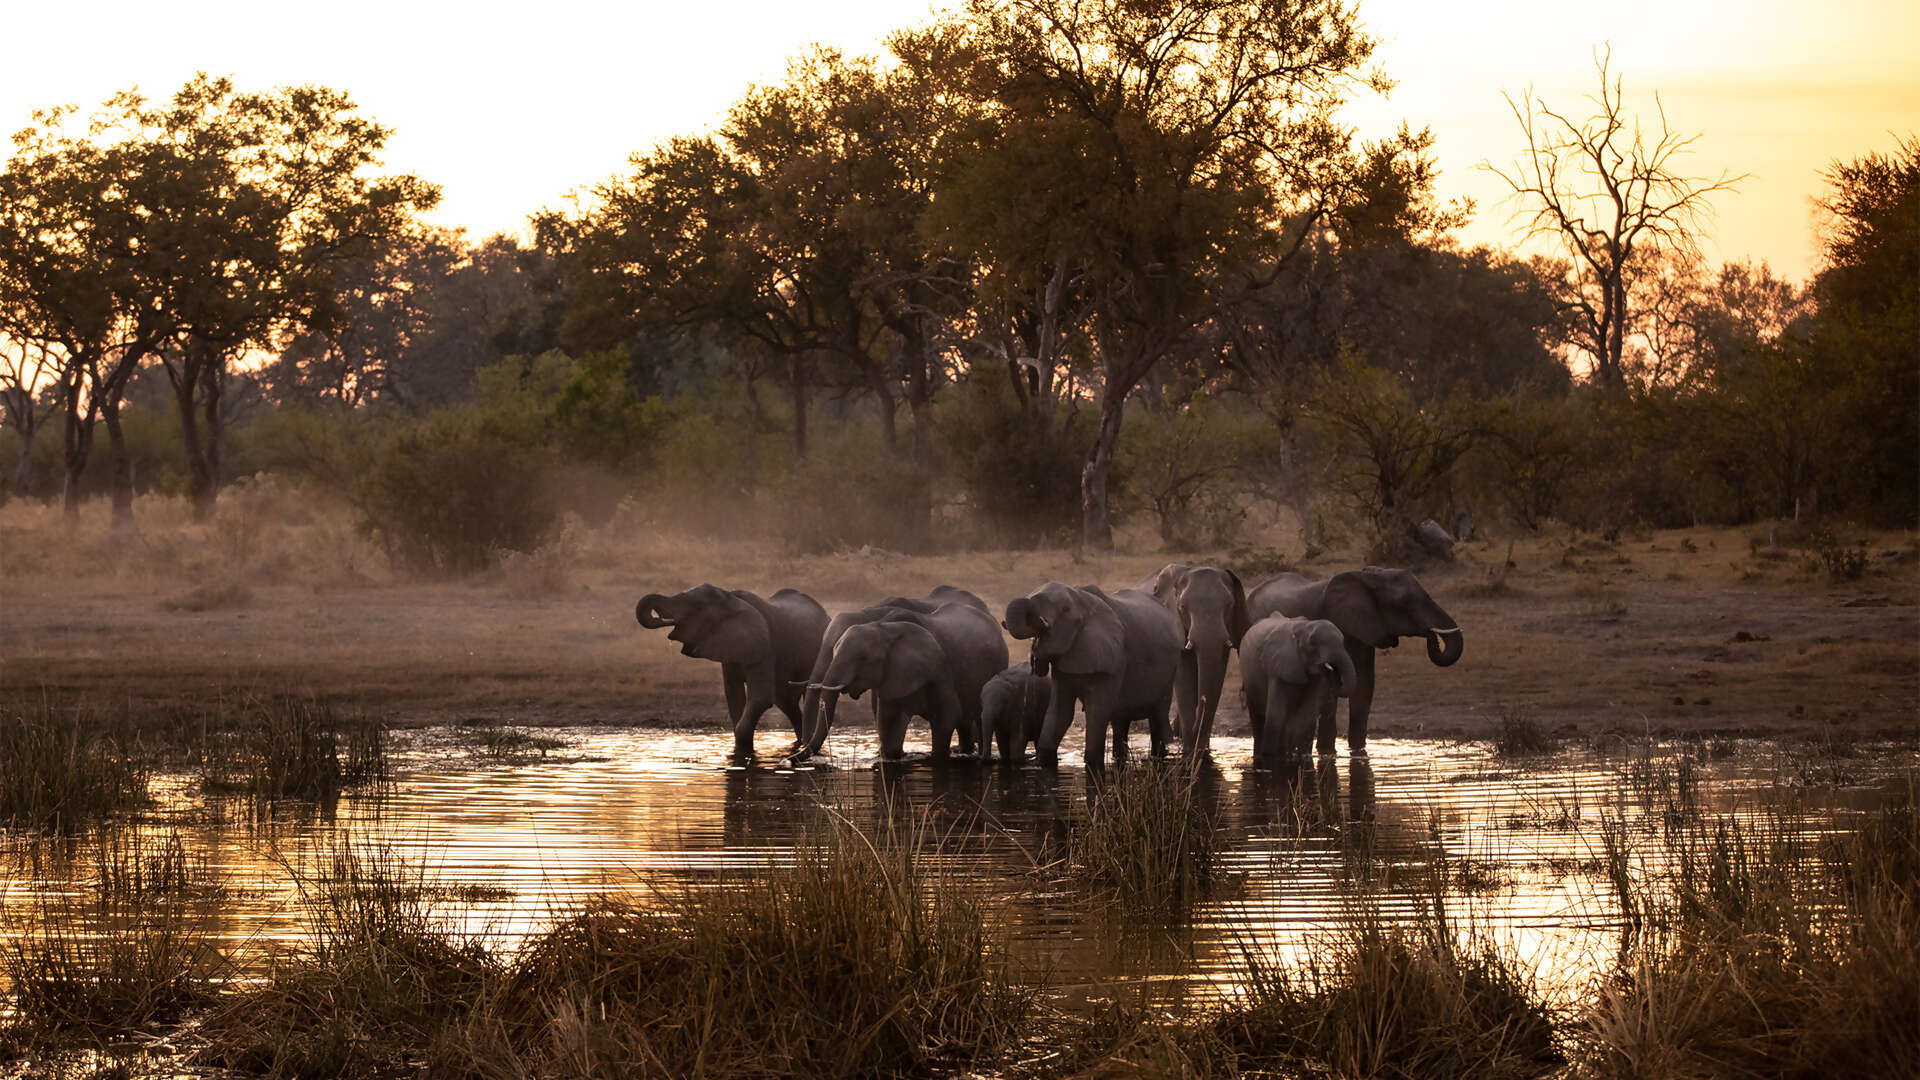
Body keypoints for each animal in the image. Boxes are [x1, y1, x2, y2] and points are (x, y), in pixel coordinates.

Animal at [634, 584, 829, 761]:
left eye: (697, 606)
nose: (659, 617)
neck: (732, 600)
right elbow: (733, 695)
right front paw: (740, 753)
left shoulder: (765, 646)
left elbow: (760, 698)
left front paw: (745, 753)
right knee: (785, 701)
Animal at [1001, 583, 1181, 768]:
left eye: (1065, 609)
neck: (1082, 599)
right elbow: (1060, 712)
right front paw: (1041, 764)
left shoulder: (1114, 658)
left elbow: (1098, 710)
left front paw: (1092, 764)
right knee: (1121, 721)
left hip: (1170, 670)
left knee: (1158, 715)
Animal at [1139, 563, 1251, 760]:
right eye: (1182, 606)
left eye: (1229, 605)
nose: (1193, 733)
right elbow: (1184, 676)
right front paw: (1190, 753)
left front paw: (1201, 751)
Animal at [1239, 614, 1355, 766]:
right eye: (1312, 642)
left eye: (1343, 641)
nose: (1330, 669)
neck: (1303, 628)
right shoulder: (1278, 666)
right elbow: (1275, 716)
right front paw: (1270, 759)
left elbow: (1307, 717)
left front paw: (1302, 758)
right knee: (1258, 717)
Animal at [1246, 567, 1463, 754]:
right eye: (1405, 603)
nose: (1431, 633)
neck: (1368, 578)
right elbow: (1330, 692)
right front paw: (1327, 753)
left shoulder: (1365, 629)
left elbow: (1365, 685)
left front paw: (1358, 750)